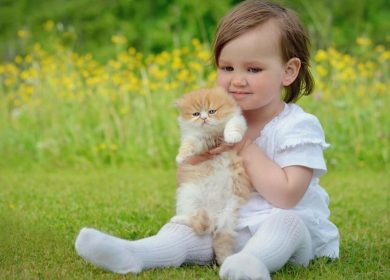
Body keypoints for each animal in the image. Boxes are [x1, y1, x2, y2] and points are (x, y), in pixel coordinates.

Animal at [171, 87, 251, 264]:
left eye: (212, 111)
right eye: (195, 114)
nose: (204, 118)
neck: (212, 135)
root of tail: (214, 215)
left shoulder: (237, 119)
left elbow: (232, 126)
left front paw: (232, 137)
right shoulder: (196, 138)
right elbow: (189, 144)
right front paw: (181, 157)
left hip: (229, 213)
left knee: (216, 234)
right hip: (188, 196)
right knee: (197, 222)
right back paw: (178, 219)